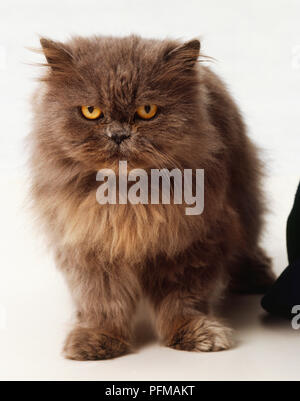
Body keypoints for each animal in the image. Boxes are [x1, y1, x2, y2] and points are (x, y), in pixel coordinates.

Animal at [29, 35, 276, 360]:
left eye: (147, 110)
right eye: (91, 111)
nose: (118, 135)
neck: (129, 199)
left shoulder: (193, 242)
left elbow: (184, 298)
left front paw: (195, 333)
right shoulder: (90, 246)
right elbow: (101, 301)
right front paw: (98, 338)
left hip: (246, 203)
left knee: (248, 246)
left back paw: (258, 277)